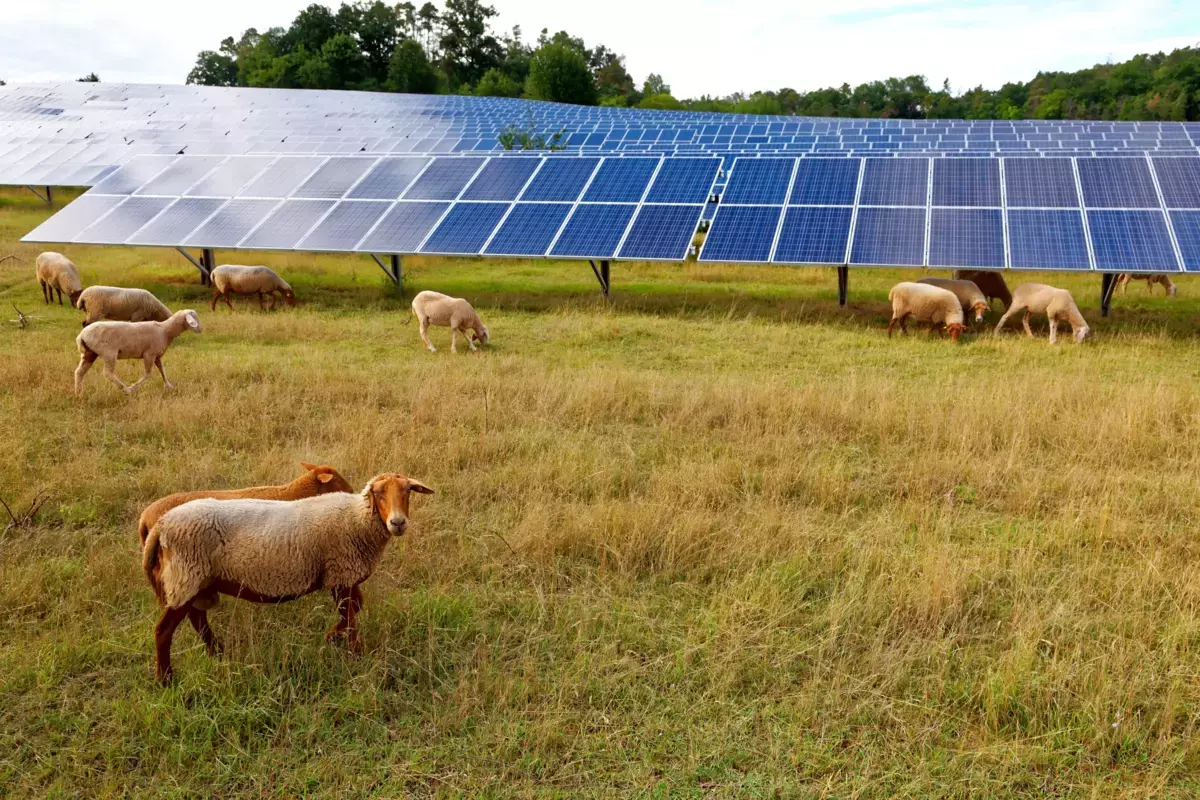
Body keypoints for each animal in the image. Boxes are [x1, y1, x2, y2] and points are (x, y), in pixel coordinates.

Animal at [74, 309, 202, 393]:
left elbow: (162, 370)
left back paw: (79, 393)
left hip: (89, 352)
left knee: (80, 371)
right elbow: (148, 374)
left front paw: (169, 386)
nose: (201, 329)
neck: (165, 331)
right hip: (109, 353)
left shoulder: (157, 355)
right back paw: (126, 390)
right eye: (195, 317)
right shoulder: (149, 354)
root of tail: (82, 335)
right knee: (108, 373)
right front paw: (133, 387)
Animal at [144, 472, 436, 686]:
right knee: (163, 630)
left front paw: (331, 637)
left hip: (197, 581)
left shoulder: (341, 576)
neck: (357, 519)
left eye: (407, 492)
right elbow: (351, 617)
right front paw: (356, 654)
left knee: (198, 619)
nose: (398, 523)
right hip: (186, 576)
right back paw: (165, 679)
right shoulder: (341, 572)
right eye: (379, 494)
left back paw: (218, 654)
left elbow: (353, 609)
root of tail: (160, 525)